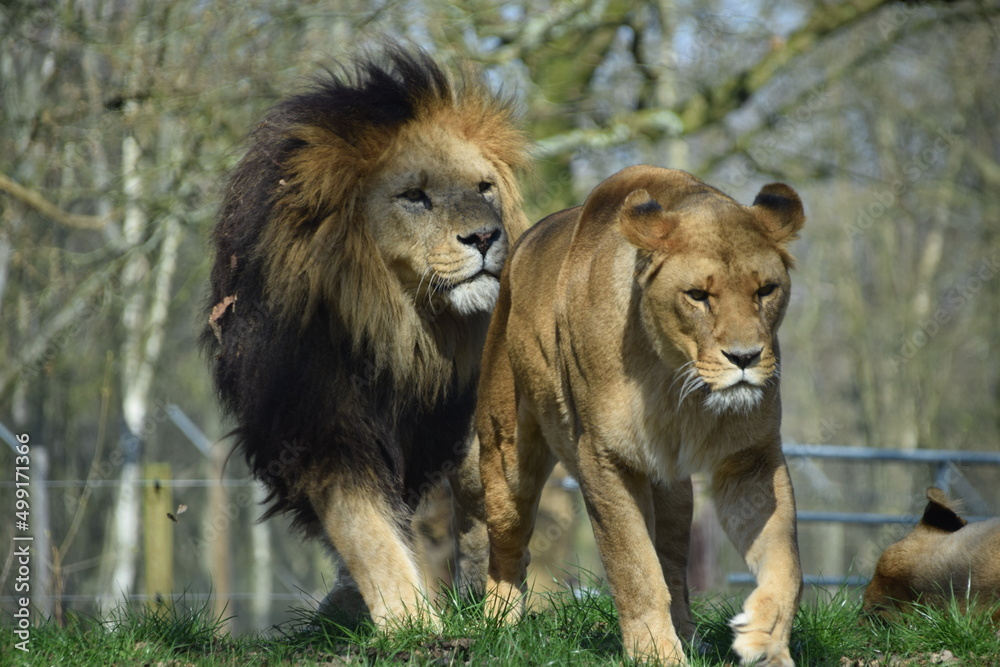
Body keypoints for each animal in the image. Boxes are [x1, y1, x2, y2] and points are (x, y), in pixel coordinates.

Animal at [202, 46, 529, 627]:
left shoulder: (464, 404)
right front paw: (411, 623)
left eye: (484, 187)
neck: (403, 329)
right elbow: (368, 533)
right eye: (414, 196)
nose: (486, 236)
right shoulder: (320, 427)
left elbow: (481, 494)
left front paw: (498, 602)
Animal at [477, 165, 805, 666]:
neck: (678, 384)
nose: (746, 357)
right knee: (508, 546)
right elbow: (634, 569)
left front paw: (765, 639)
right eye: (698, 295)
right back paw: (498, 626)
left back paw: (690, 634)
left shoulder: (752, 459)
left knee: (673, 563)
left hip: (675, 491)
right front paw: (655, 653)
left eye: (765, 290)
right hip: (505, 457)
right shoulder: (603, 460)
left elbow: (784, 560)